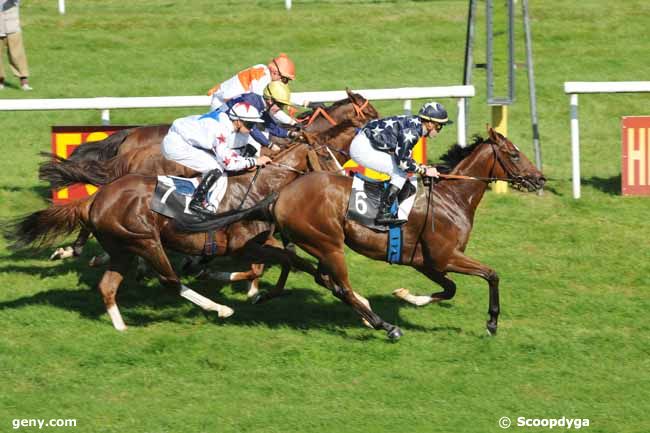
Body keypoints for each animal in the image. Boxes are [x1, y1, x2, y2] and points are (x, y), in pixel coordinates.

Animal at [6, 143, 334, 330]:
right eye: (328, 158)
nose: (342, 177)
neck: (257, 188)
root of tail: (94, 200)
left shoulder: (261, 242)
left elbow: (289, 259)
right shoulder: (243, 247)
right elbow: (278, 261)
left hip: (123, 248)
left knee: (108, 286)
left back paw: (121, 327)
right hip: (145, 240)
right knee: (170, 281)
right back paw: (219, 308)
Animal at [197, 126, 548, 340]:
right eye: (514, 154)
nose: (540, 179)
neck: (452, 198)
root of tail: (280, 195)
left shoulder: (426, 262)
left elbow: (449, 289)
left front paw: (408, 296)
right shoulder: (446, 256)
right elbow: (491, 275)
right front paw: (492, 322)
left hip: (319, 245)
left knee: (322, 278)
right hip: (329, 244)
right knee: (341, 287)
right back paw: (385, 326)